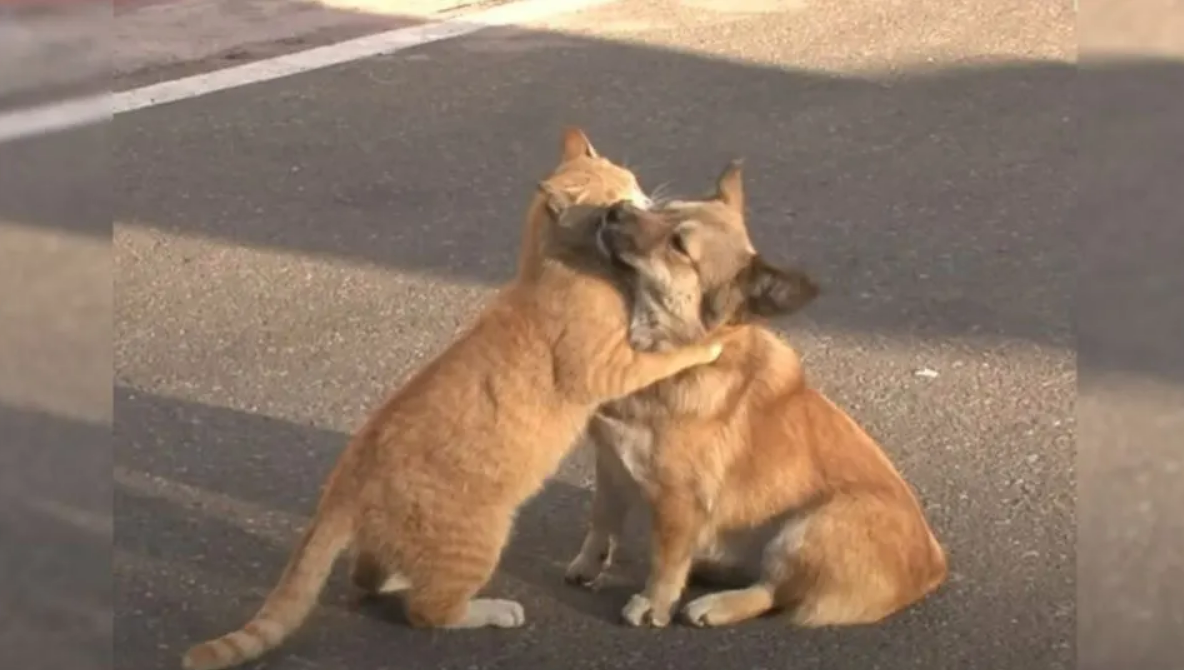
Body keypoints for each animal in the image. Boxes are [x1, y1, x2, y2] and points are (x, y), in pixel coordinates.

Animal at [558, 158, 947, 629]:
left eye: (678, 246)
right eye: (663, 208)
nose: (614, 210)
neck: (673, 359)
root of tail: (934, 566)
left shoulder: (678, 501)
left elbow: (666, 561)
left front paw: (654, 603)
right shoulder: (611, 466)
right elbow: (602, 521)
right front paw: (589, 563)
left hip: (809, 527)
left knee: (773, 592)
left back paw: (716, 604)